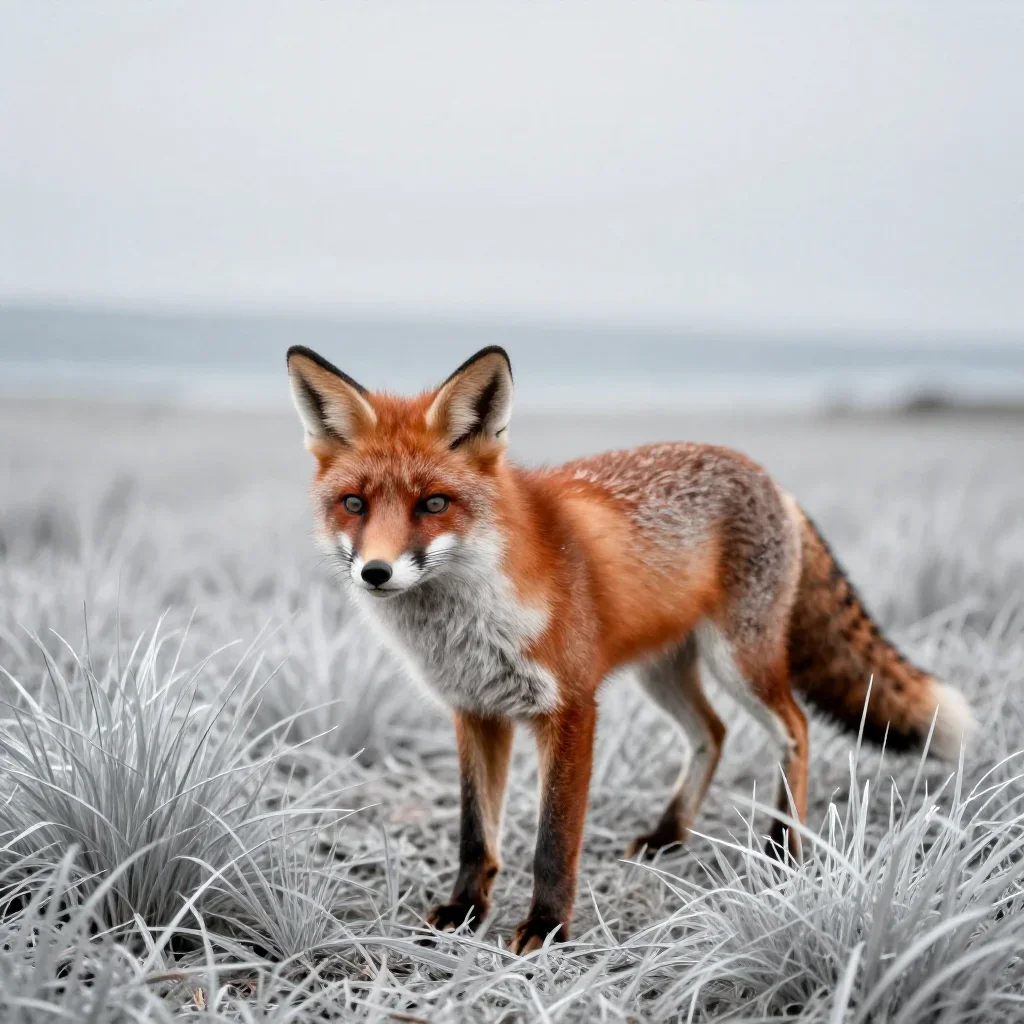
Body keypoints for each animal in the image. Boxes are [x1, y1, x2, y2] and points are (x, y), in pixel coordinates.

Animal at [285, 343, 976, 955]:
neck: (467, 620)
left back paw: (784, 850)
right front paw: (465, 911)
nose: (375, 572)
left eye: (433, 503)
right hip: (662, 675)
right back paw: (670, 834)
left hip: (739, 663)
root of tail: (771, 481)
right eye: (354, 504)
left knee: (796, 728)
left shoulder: (570, 708)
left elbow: (553, 841)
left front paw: (547, 929)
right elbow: (475, 834)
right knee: (713, 733)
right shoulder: (475, 711)